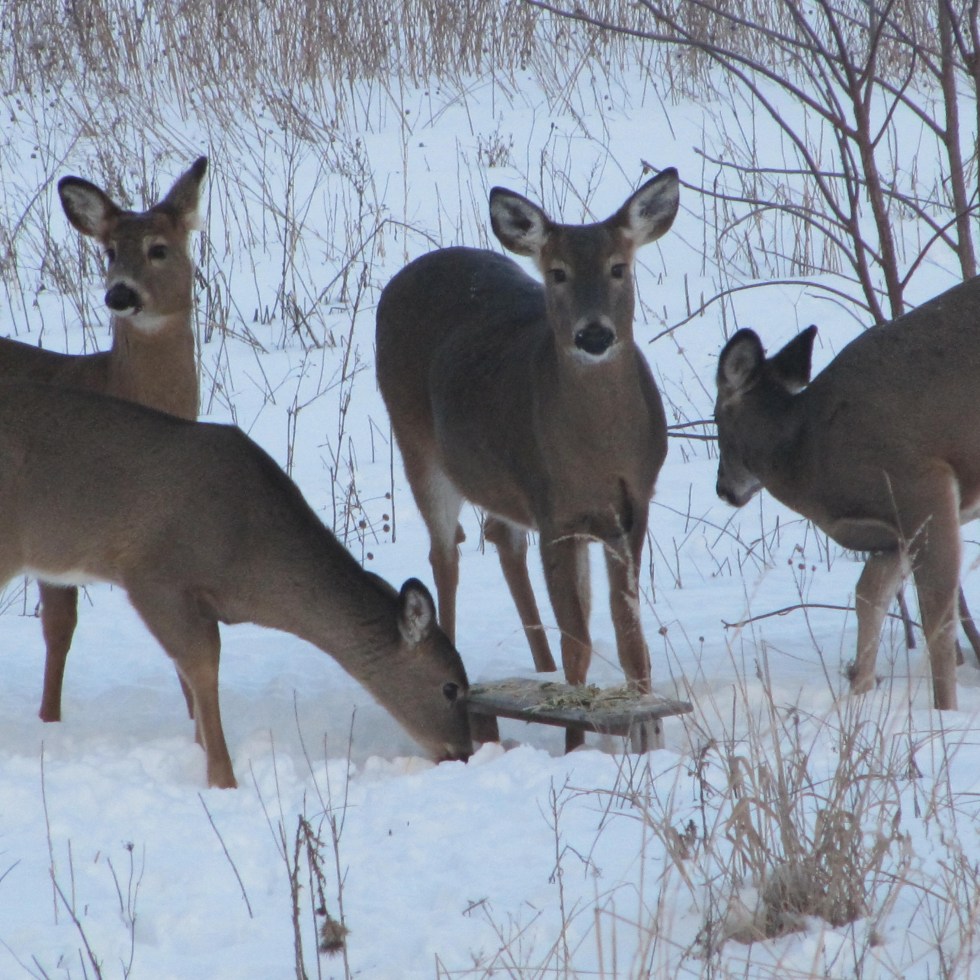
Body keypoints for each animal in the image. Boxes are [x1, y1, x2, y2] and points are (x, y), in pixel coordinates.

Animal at [0, 380, 473, 788]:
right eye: (451, 688)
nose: (464, 753)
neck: (251, 559)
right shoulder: (155, 576)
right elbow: (202, 668)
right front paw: (223, 780)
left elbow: (192, 675)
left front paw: (202, 753)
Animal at [376, 169, 679, 747]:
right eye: (557, 272)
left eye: (618, 267)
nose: (594, 333)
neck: (599, 454)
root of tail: (407, 272)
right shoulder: (553, 510)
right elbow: (578, 641)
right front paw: (576, 737)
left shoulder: (632, 509)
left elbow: (630, 636)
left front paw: (646, 732)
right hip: (415, 441)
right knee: (444, 555)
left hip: (500, 481)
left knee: (500, 535)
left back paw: (540, 669)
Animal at [713, 274, 980, 713]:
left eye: (717, 418)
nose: (722, 488)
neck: (810, 451)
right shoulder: (890, 534)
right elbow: (868, 598)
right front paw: (858, 698)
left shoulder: (923, 487)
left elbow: (937, 621)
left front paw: (944, 711)